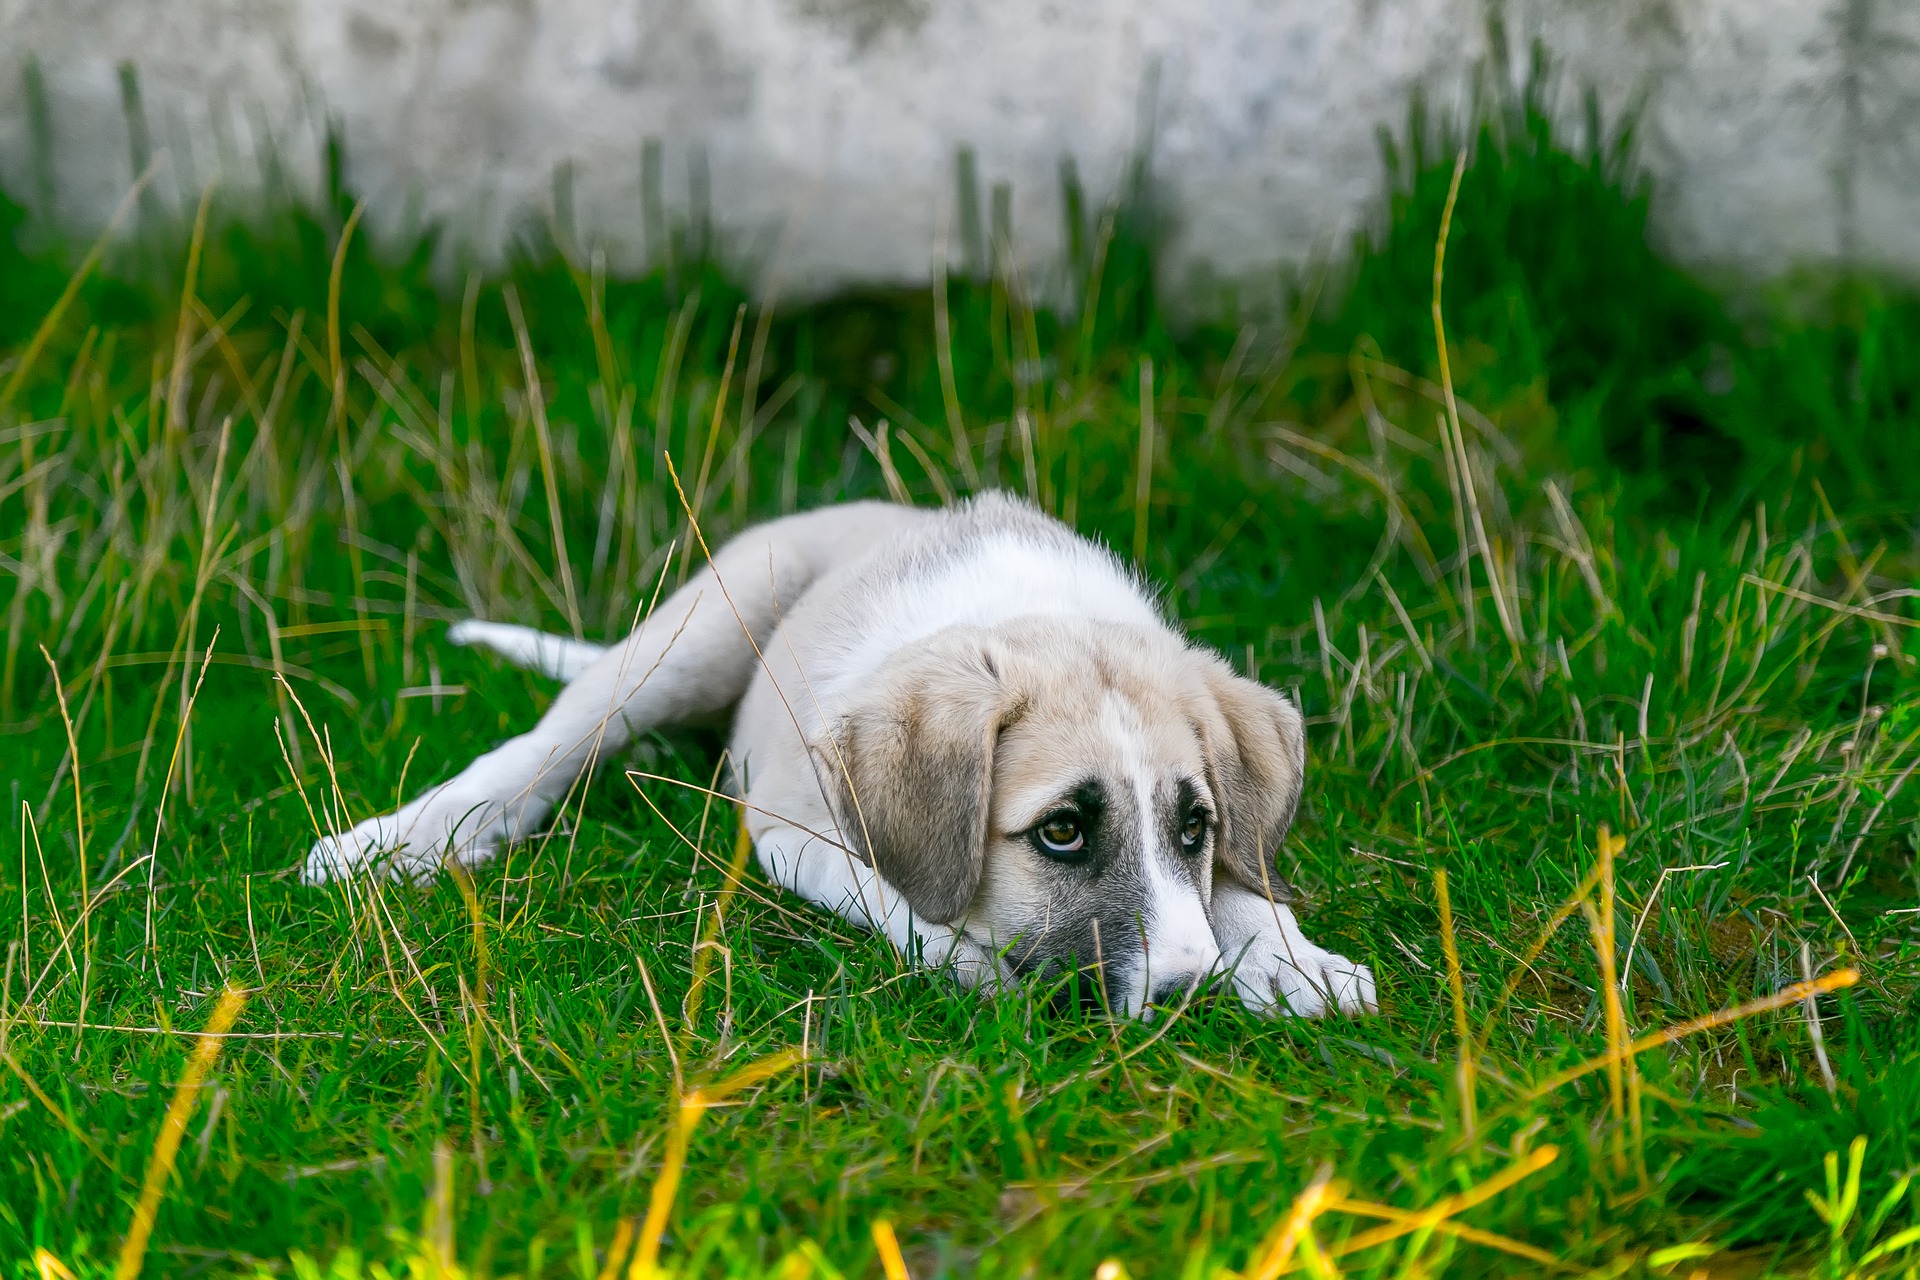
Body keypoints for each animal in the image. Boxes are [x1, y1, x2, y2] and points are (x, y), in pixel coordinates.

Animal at [299, 495, 1374, 1020]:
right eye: (1063, 831)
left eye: (1195, 826)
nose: (1191, 994)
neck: (1029, 612)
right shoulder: (790, 829)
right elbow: (898, 896)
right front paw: (970, 960)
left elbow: (1239, 885)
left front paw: (1293, 962)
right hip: (699, 627)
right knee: (552, 741)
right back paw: (403, 840)